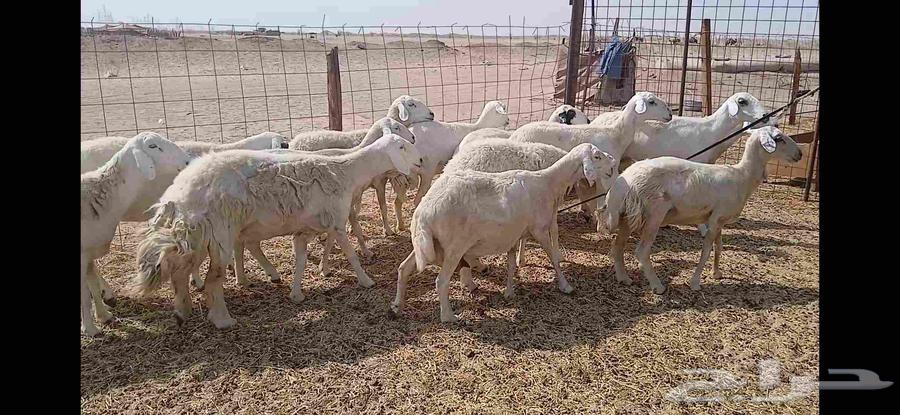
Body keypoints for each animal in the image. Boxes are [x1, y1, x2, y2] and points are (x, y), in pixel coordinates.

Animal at [80, 132, 192, 336]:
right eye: (153, 146)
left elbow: (92, 283)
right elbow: (84, 294)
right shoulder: (82, 253)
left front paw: (104, 316)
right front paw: (91, 329)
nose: (188, 161)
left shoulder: (90, 251)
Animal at [131, 134, 423, 329]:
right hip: (219, 233)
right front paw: (366, 280)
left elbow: (300, 261)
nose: (421, 159)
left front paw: (296, 294)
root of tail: (176, 196)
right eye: (402, 146)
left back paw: (183, 311)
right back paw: (222, 319)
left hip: (197, 235)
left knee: (180, 272)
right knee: (213, 278)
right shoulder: (337, 222)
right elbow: (351, 254)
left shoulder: (305, 230)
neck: (346, 171)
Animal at [391, 143, 617, 323]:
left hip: (427, 244)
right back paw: (448, 316)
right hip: (454, 247)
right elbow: (553, 258)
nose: (614, 163)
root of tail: (424, 212)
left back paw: (397, 305)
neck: (548, 183)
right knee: (442, 281)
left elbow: (510, 265)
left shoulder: (514, 235)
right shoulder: (539, 230)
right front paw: (565, 286)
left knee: (403, 268)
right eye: (597, 156)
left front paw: (509, 291)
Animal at [601, 126, 802, 294]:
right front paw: (695, 282)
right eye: (779, 138)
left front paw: (716, 273)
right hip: (654, 214)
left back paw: (623, 278)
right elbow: (706, 252)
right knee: (641, 251)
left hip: (627, 215)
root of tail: (623, 182)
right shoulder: (714, 220)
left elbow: (719, 247)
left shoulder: (719, 219)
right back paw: (657, 286)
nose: (799, 154)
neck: (742, 177)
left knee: (617, 247)